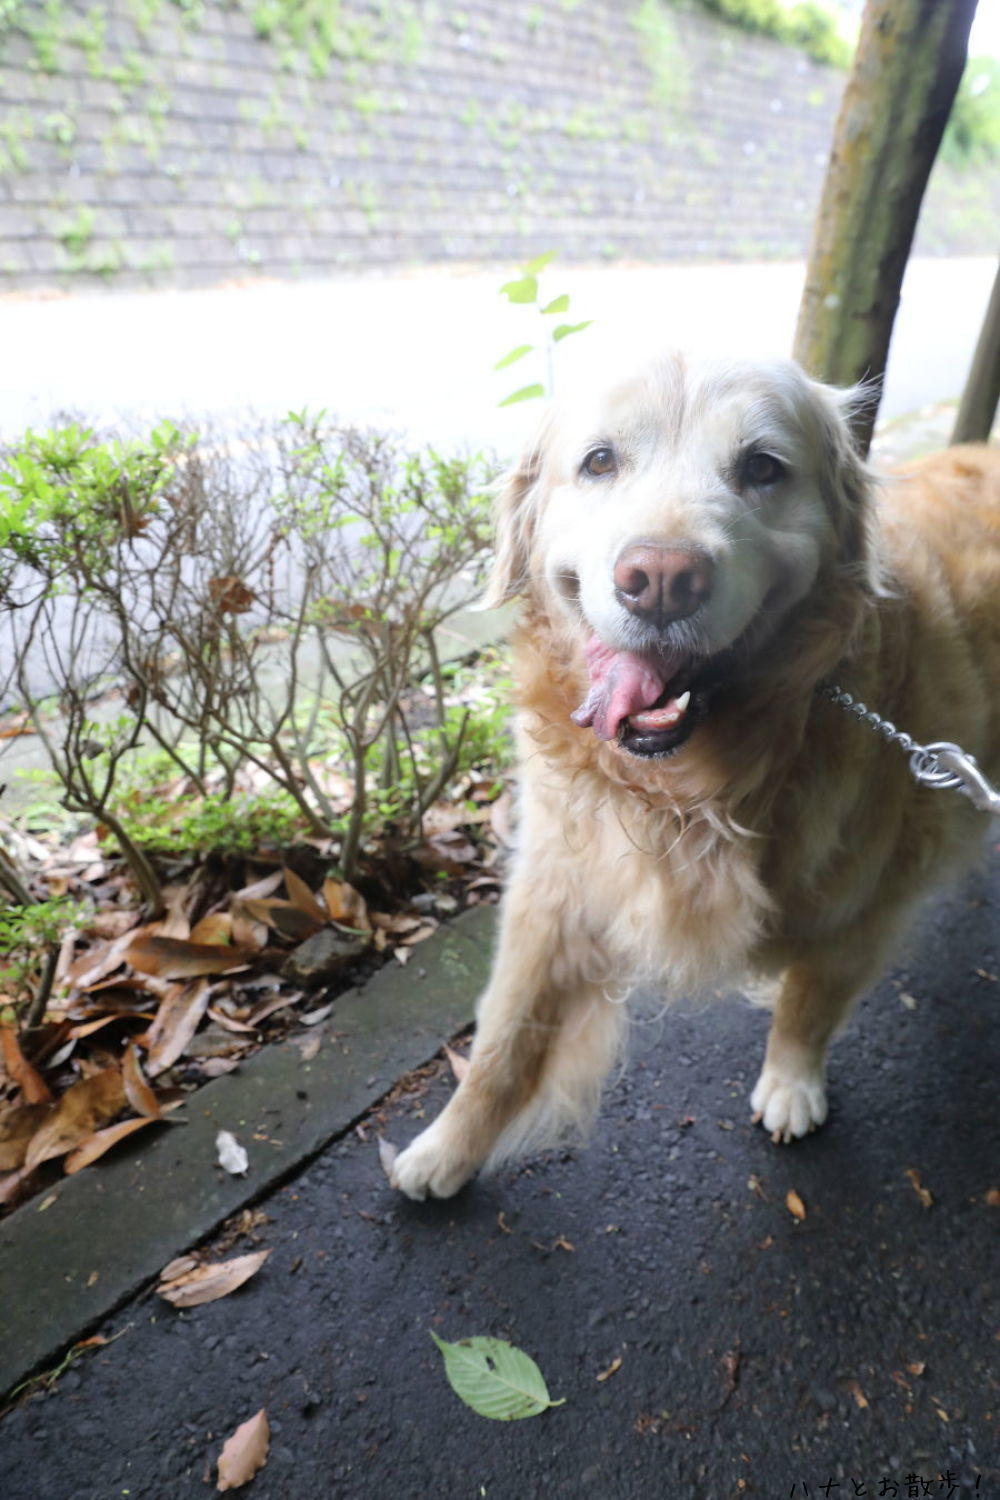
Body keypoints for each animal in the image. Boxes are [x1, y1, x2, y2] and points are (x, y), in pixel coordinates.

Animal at [389, 345, 1000, 1200]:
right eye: (599, 461)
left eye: (763, 468)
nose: (661, 578)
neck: (688, 788)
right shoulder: (556, 884)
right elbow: (505, 1036)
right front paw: (448, 1147)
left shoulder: (866, 903)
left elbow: (811, 1002)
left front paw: (791, 1082)